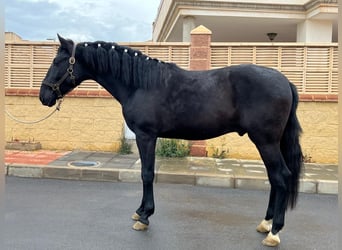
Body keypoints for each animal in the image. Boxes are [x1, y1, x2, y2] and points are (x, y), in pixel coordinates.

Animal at [39, 35, 302, 248]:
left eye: (57, 62)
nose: (44, 96)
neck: (139, 84)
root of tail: (285, 82)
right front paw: (140, 212)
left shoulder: (146, 136)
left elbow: (146, 174)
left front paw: (144, 217)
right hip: (268, 142)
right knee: (274, 178)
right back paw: (265, 224)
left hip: (266, 141)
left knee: (281, 177)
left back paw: (274, 232)